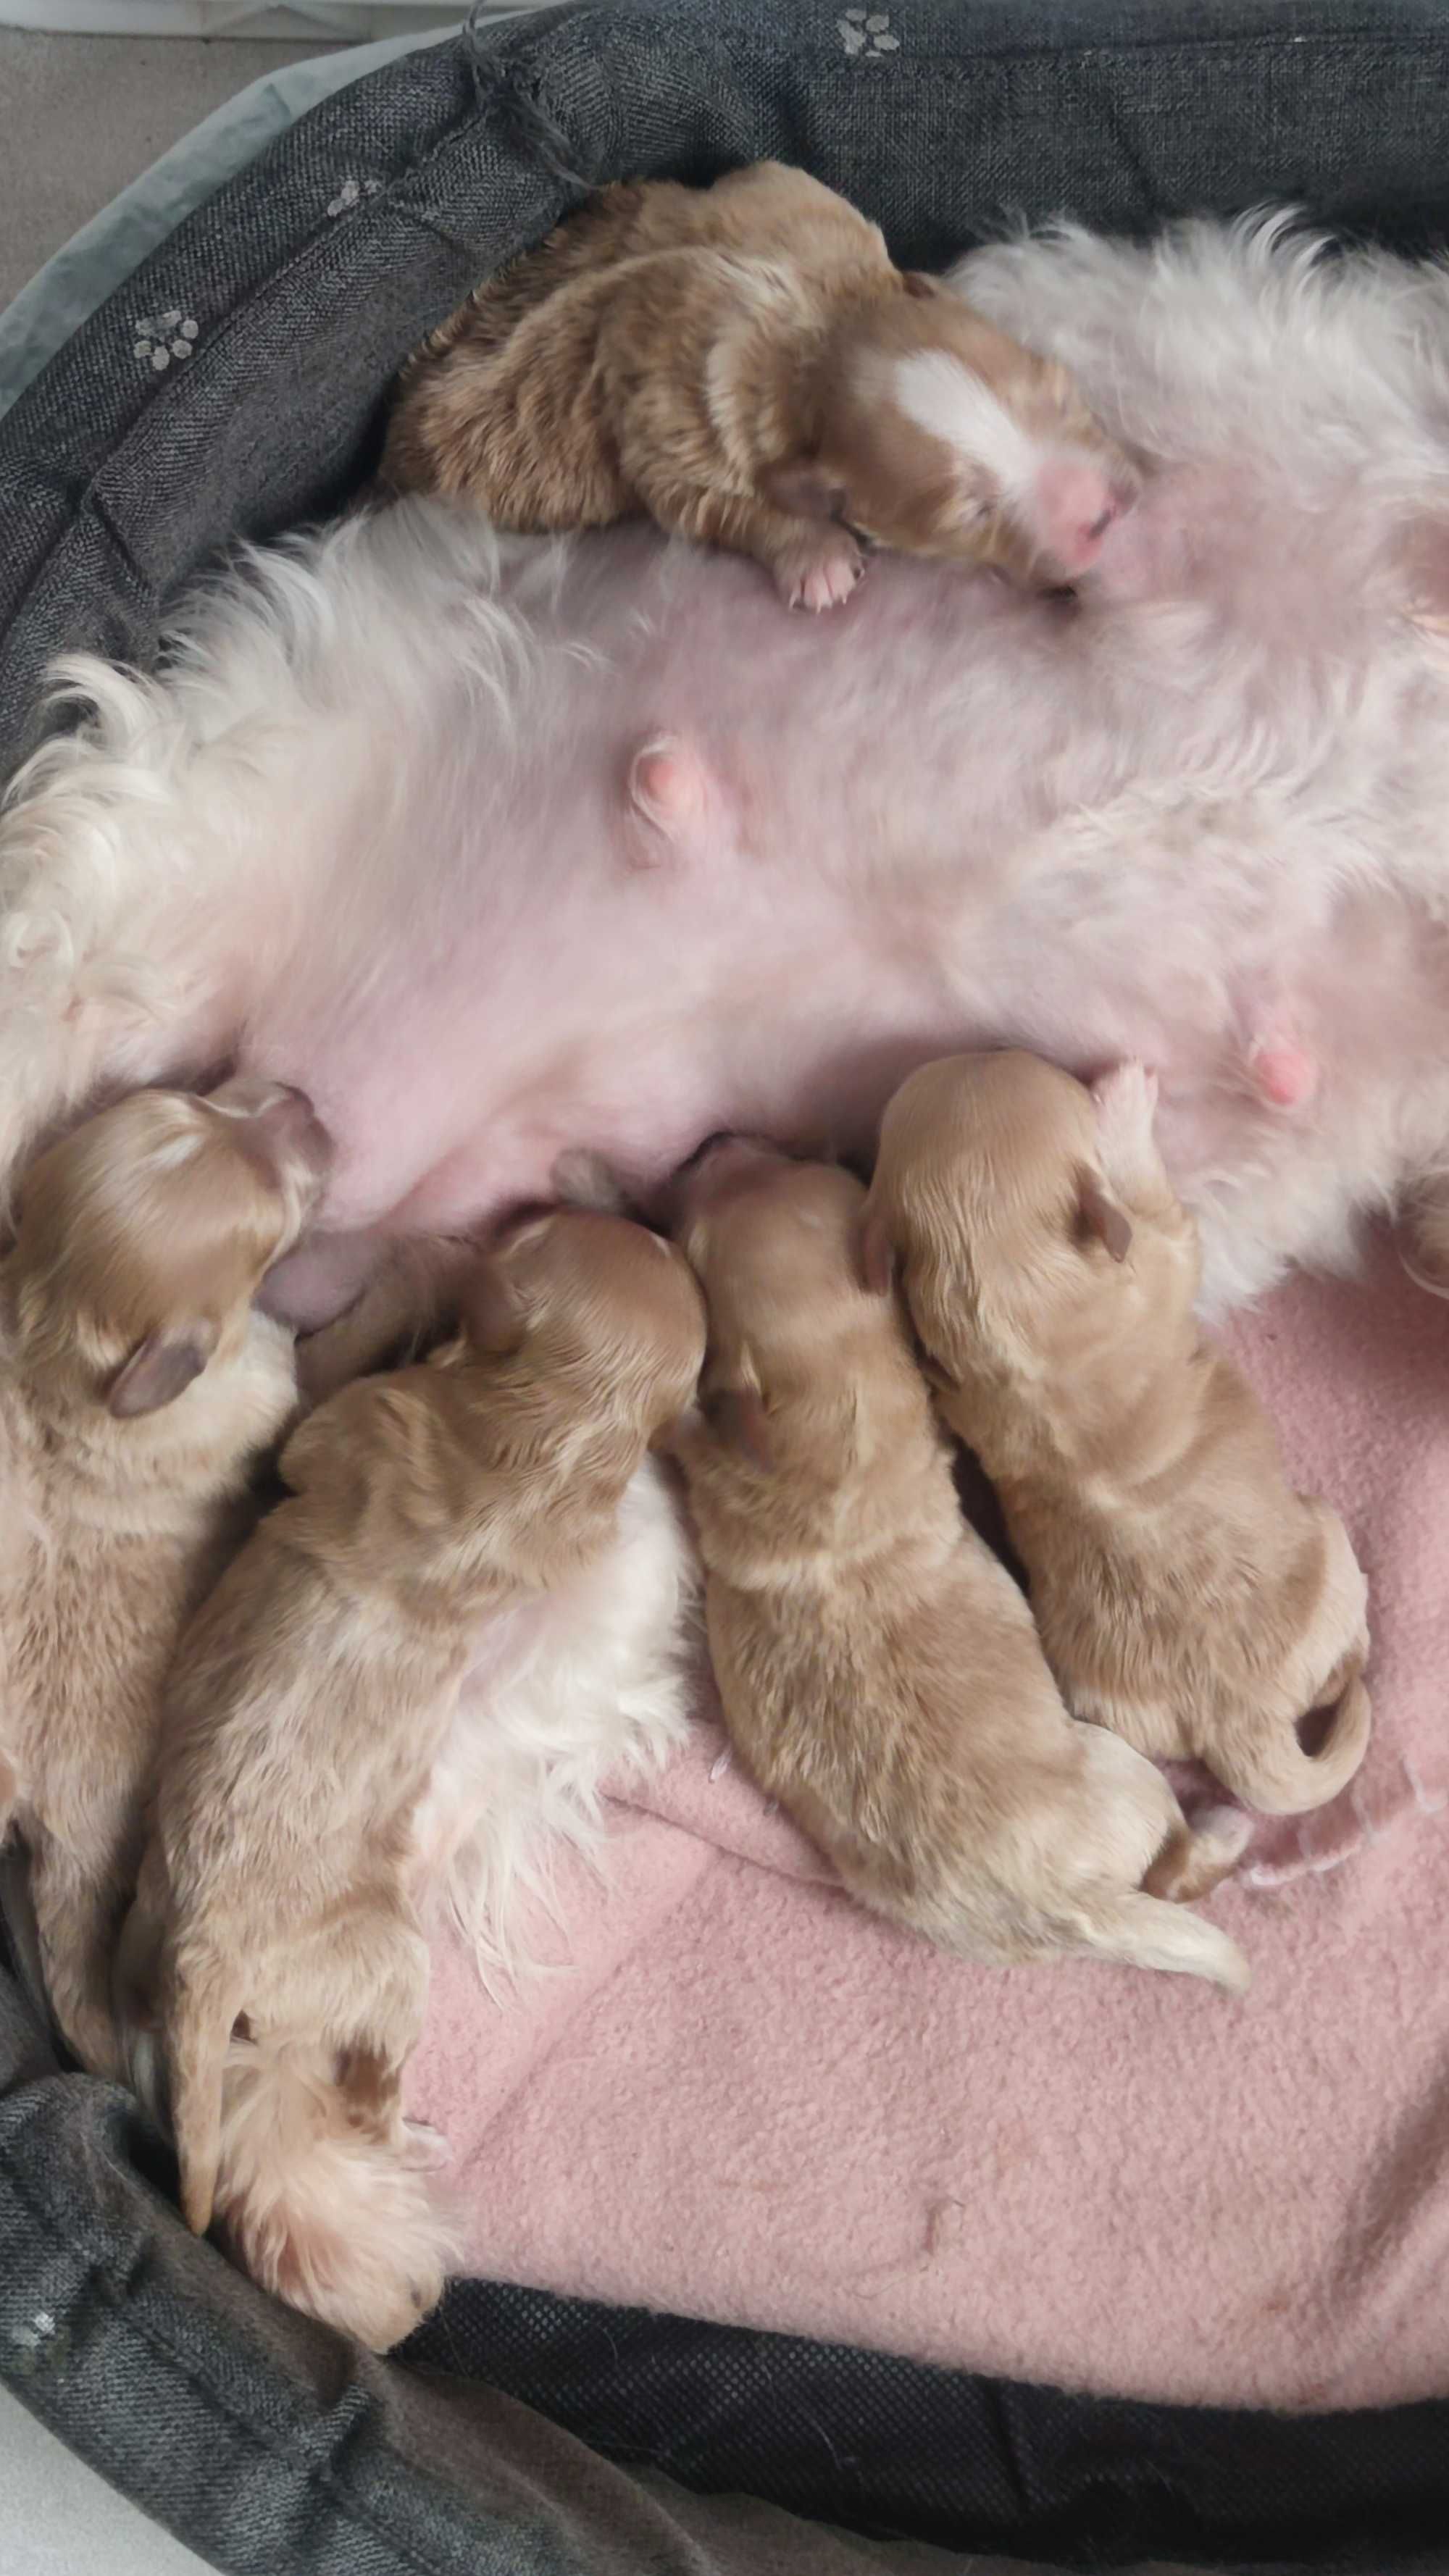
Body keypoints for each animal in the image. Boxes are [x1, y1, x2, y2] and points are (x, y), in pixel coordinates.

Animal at [381, 159, 1129, 608]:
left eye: (1063, 395)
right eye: (970, 515)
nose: (1107, 511)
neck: (825, 328)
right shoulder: (672, 418)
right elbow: (708, 502)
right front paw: (819, 558)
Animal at [665, 1133, 1243, 1989]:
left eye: (791, 1166)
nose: (708, 1141)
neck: (837, 1424)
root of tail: (1066, 1907)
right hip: (1124, 1770)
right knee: (1173, 1867)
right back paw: (1226, 1829)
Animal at [856, 1055, 1361, 1823]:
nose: (983, 1049)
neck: (1006, 1285)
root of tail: (1239, 1720)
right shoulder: (1160, 1257)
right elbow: (1168, 1217)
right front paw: (1123, 1099)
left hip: (1116, 1705)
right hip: (1330, 1547)